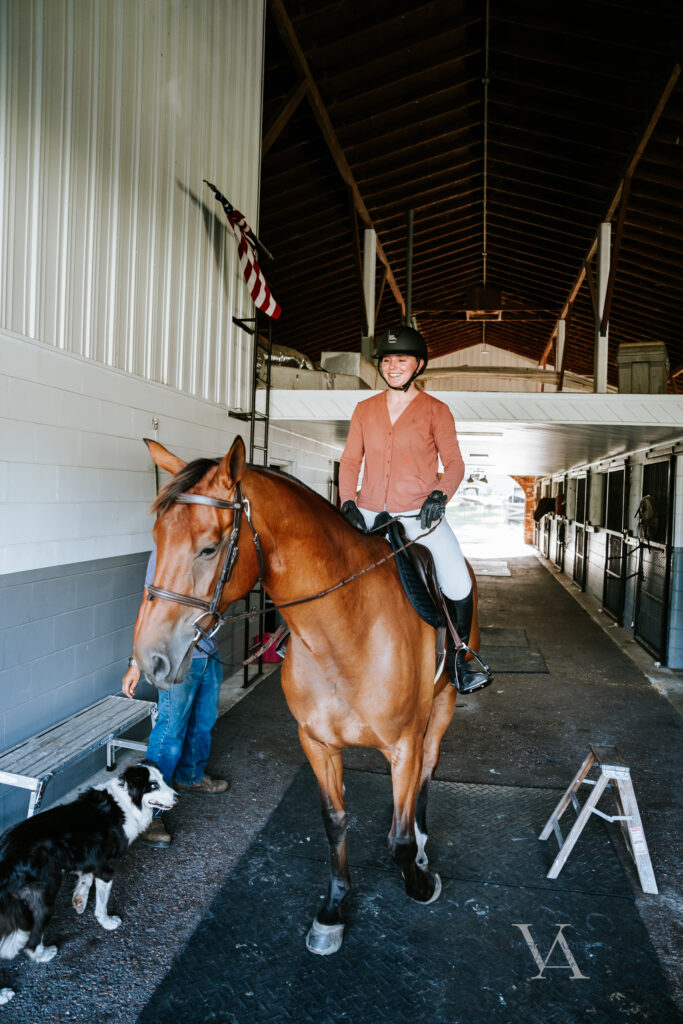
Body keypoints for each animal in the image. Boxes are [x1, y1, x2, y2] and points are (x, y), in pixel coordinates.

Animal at [0, 761, 176, 966]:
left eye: (163, 779)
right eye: (153, 785)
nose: (177, 797)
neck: (127, 801)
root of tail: (7, 856)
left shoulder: (91, 857)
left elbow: (87, 877)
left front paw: (80, 899)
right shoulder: (106, 867)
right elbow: (102, 902)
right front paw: (107, 922)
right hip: (43, 895)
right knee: (32, 938)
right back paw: (44, 954)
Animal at [132, 432, 481, 950]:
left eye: (209, 549)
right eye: (156, 539)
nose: (150, 660)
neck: (347, 629)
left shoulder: (404, 744)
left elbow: (399, 836)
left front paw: (418, 882)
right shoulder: (317, 743)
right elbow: (334, 821)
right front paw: (333, 911)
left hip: (443, 705)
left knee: (428, 770)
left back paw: (421, 843)